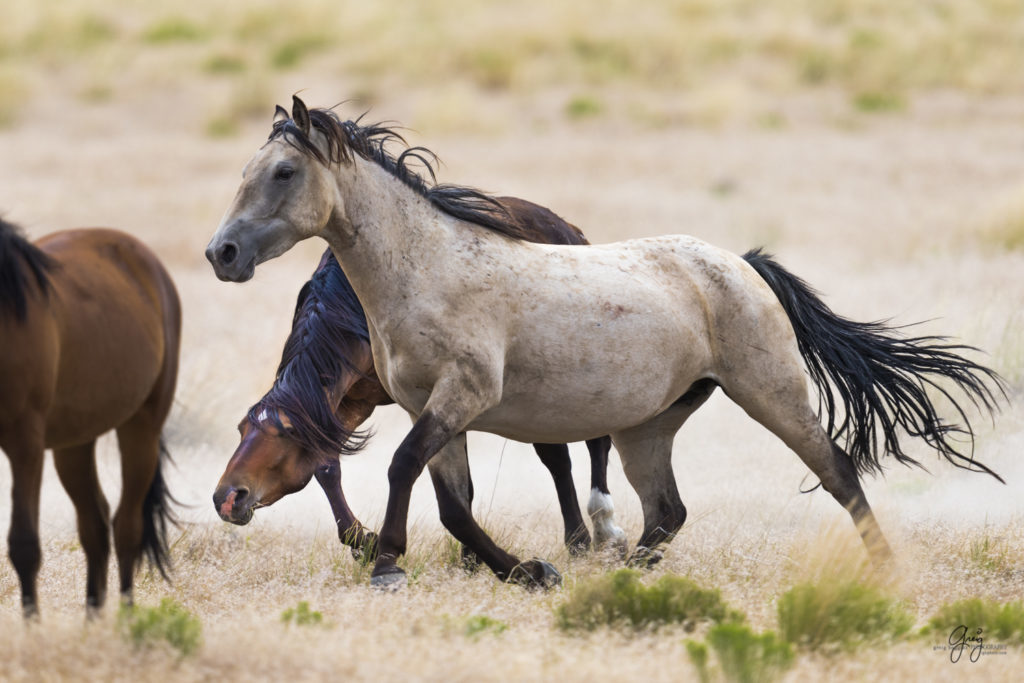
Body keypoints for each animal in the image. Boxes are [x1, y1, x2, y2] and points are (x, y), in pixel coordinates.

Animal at [0, 222, 180, 618]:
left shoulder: (25, 444)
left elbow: (24, 545)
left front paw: (33, 627)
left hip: (141, 429)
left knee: (126, 527)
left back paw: (125, 619)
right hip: (74, 443)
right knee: (95, 527)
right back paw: (92, 621)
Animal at [212, 197, 622, 565]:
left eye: (285, 435)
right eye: (240, 429)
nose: (226, 498)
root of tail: (571, 231)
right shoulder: (355, 400)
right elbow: (327, 467)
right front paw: (366, 541)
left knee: (584, 446)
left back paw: (595, 534)